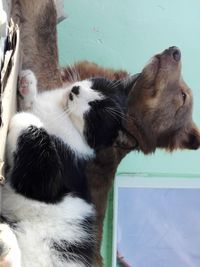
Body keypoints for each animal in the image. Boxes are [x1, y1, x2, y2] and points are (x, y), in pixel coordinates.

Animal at [0, 70, 134, 266]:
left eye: (95, 112)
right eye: (95, 84)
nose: (76, 90)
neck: (63, 114)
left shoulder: (52, 178)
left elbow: (31, 125)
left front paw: (24, 117)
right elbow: (31, 106)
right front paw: (27, 84)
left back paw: (6, 243)